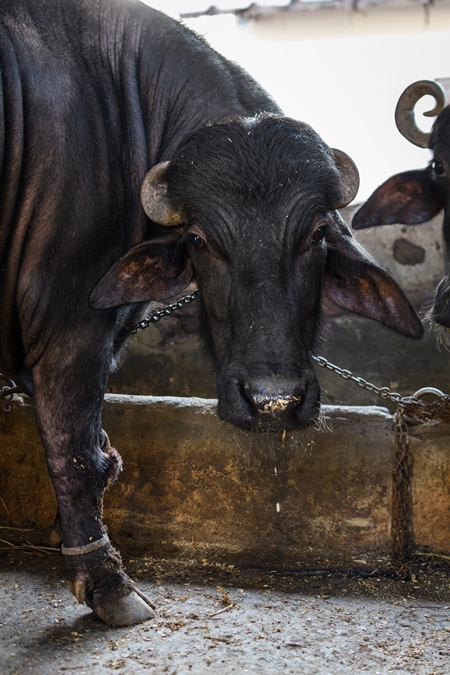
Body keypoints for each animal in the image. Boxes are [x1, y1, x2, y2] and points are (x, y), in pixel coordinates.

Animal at [0, 0, 422, 624]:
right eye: (198, 239)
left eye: (318, 233)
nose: (274, 401)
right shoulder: (69, 333)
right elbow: (78, 454)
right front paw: (107, 583)